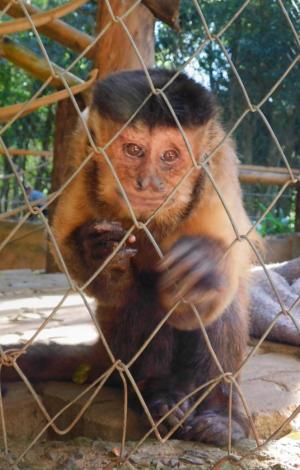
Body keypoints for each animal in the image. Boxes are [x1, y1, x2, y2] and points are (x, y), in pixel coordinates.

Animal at [1, 70, 255, 444]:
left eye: (169, 156)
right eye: (133, 150)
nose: (148, 182)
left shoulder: (216, 168)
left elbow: (205, 302)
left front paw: (201, 269)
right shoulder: (83, 153)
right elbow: (99, 281)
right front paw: (100, 255)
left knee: (224, 304)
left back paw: (219, 414)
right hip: (115, 345)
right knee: (139, 297)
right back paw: (158, 394)